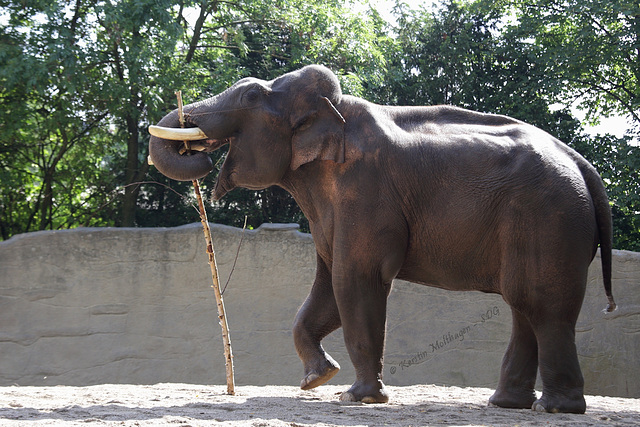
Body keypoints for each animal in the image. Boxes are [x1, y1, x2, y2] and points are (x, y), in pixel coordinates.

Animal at [149, 64, 616, 414]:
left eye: (248, 97)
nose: (197, 151)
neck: (334, 112)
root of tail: (583, 165)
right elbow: (327, 288)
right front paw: (318, 379)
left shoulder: (366, 190)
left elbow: (356, 279)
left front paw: (355, 397)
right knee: (523, 307)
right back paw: (505, 404)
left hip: (548, 218)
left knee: (542, 306)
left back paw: (554, 408)